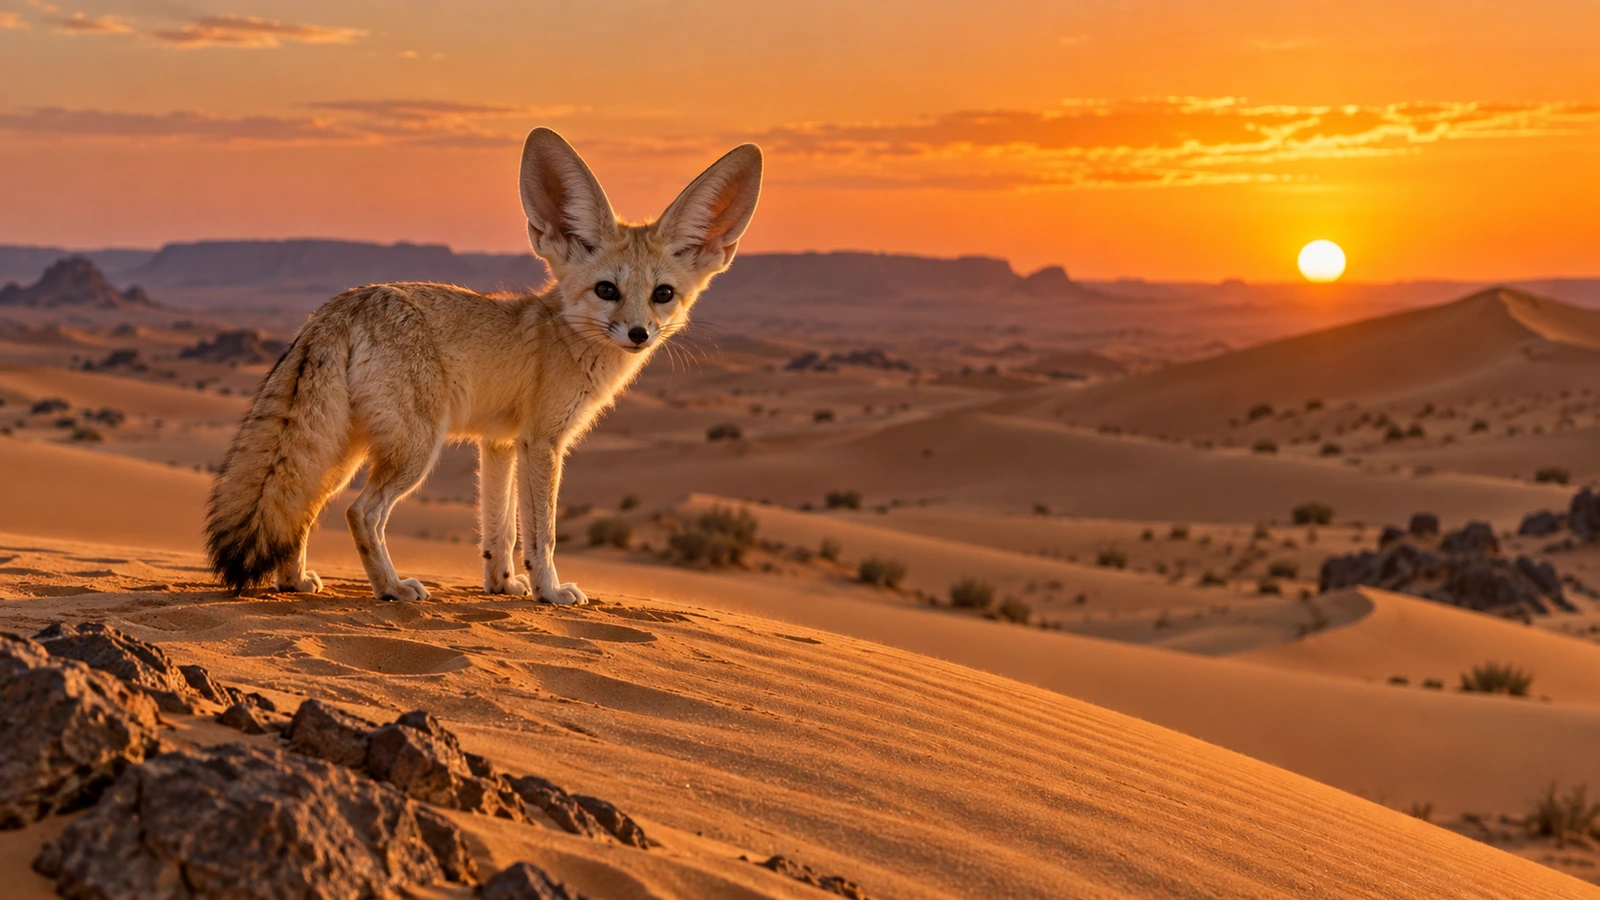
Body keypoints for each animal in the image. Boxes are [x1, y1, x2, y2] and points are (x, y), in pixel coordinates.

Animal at [204, 127, 762, 604]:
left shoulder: (498, 444)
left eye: (662, 295)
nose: (639, 334)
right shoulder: (542, 442)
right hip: (414, 451)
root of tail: (345, 303)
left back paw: (294, 581)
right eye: (607, 290)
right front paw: (548, 592)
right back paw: (391, 589)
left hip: (345, 453)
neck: (563, 336)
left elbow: (500, 528)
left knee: (301, 508)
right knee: (361, 512)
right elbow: (542, 533)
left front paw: (502, 585)